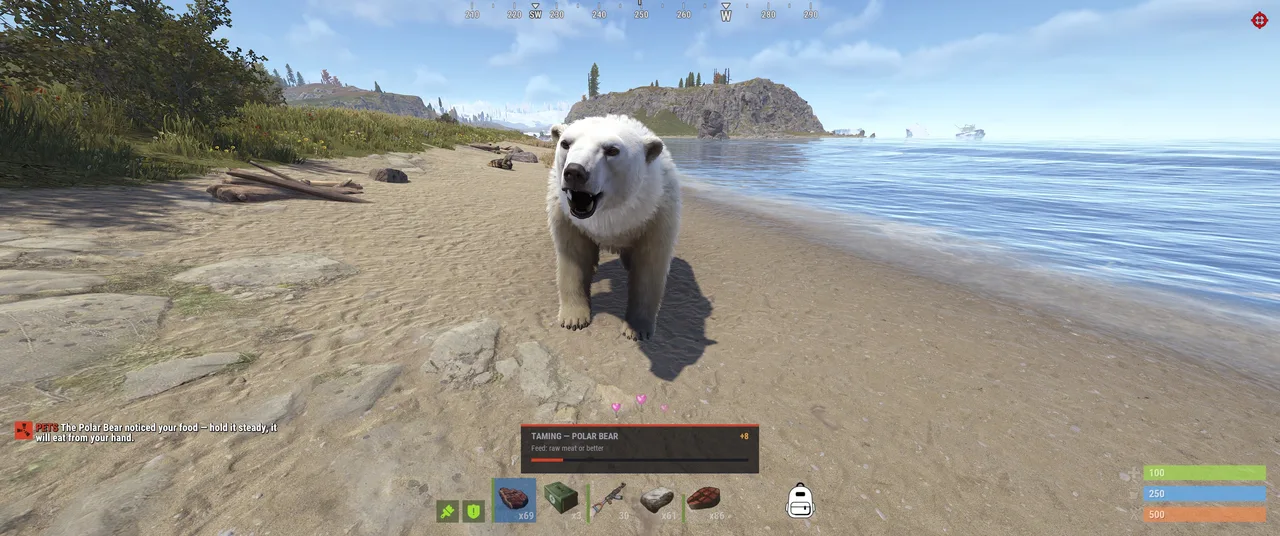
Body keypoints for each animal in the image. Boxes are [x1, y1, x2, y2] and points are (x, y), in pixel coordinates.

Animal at [546, 114, 682, 341]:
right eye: (565, 143)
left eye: (612, 150)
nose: (574, 172)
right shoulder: (566, 217)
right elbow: (573, 257)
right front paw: (574, 318)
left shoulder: (657, 215)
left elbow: (649, 268)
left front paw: (637, 328)